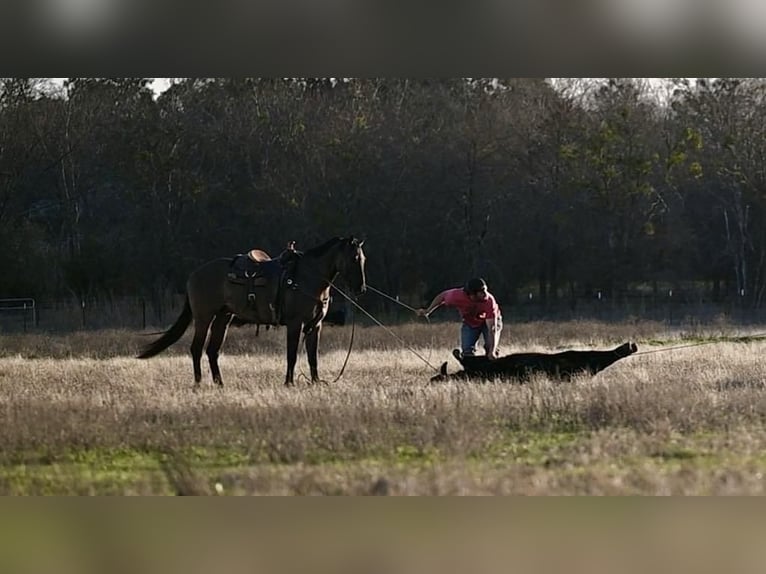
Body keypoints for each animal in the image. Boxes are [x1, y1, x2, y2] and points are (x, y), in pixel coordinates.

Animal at [138, 236, 368, 390]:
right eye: (354, 258)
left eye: (363, 259)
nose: (361, 288)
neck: (306, 278)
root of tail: (194, 274)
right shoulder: (295, 324)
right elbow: (292, 355)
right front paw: (289, 383)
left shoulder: (315, 326)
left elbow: (313, 357)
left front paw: (316, 382)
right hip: (204, 317)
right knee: (196, 349)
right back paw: (199, 383)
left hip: (223, 318)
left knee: (212, 350)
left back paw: (220, 383)